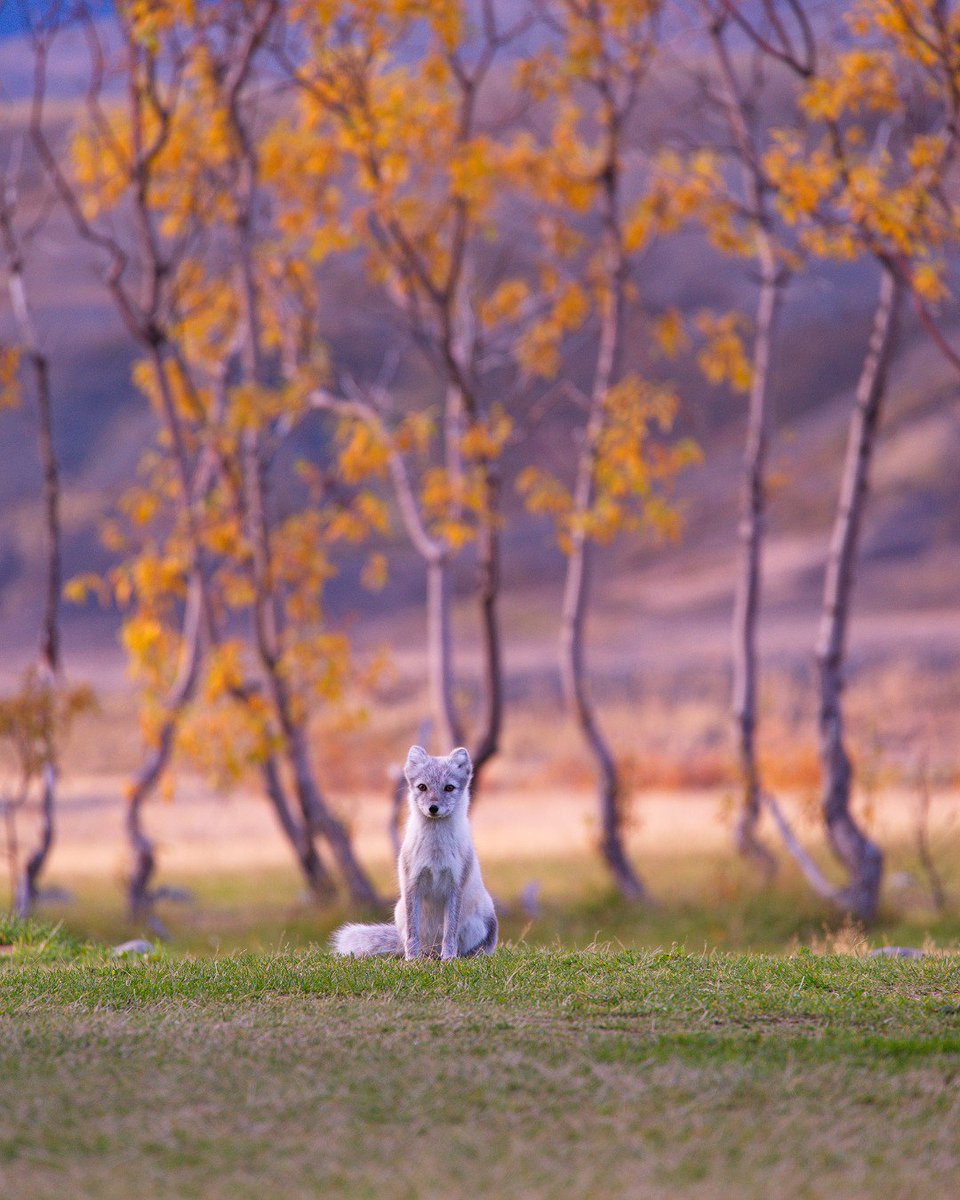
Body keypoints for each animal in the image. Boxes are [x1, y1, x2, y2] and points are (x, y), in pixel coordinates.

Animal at [332, 745, 498, 960]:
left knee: (470, 947)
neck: (435, 851)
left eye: (449, 788)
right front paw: (412, 959)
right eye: (422, 787)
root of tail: (433, 948)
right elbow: (412, 934)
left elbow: (450, 933)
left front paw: (449, 959)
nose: (433, 808)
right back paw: (424, 957)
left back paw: (464, 956)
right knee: (416, 942)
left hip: (484, 917)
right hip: (400, 911)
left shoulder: (455, 886)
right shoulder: (412, 884)